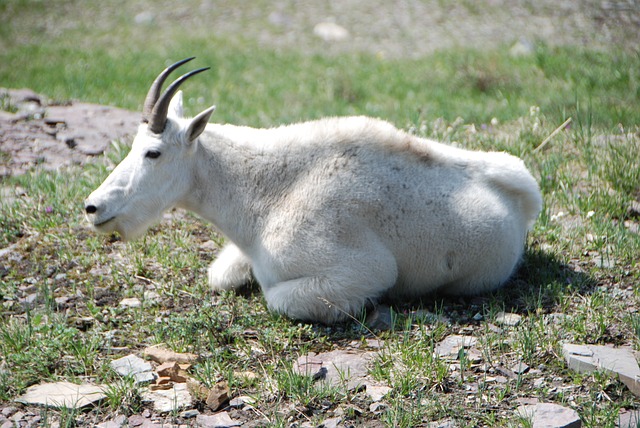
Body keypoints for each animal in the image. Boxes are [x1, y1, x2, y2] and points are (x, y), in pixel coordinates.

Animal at [85, 57, 544, 324]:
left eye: (153, 152)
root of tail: (524, 196)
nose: (93, 207)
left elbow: (277, 297)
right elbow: (221, 274)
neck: (263, 192)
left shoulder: (364, 269)